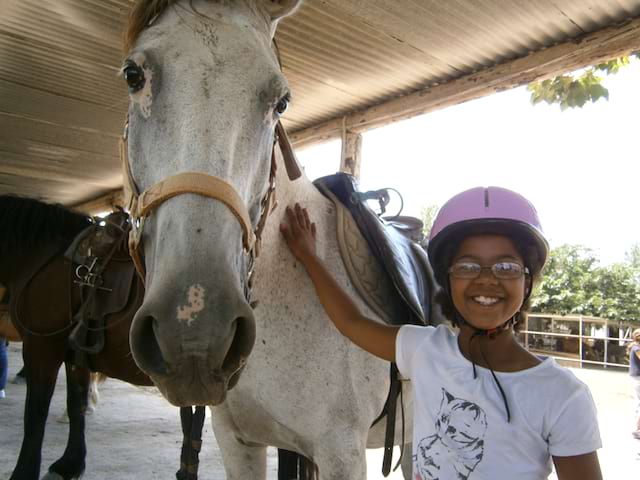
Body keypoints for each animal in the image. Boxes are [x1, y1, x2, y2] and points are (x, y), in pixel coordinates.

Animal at [0, 196, 204, 480]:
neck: (44, 258)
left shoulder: (40, 348)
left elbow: (35, 413)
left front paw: (24, 471)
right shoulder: (74, 354)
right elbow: (76, 404)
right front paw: (69, 464)